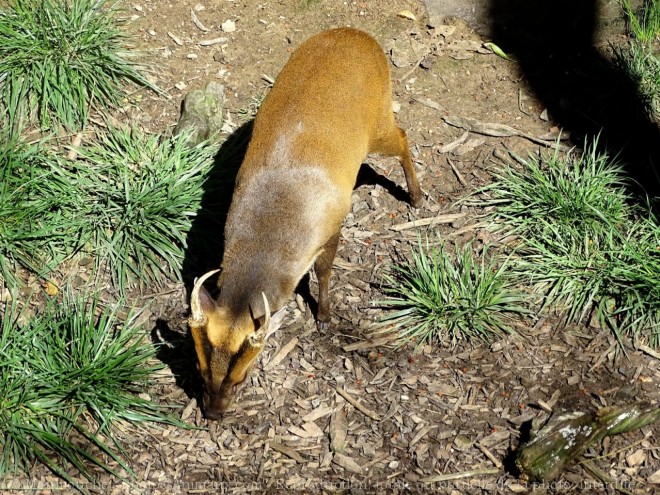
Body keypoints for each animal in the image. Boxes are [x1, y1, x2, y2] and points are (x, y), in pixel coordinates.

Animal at [188, 27, 420, 420]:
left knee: (403, 134)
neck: (272, 231)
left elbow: (324, 273)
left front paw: (324, 316)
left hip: (379, 118)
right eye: (201, 370)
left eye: (241, 377)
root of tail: (359, 35)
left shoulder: (332, 227)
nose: (214, 413)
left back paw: (417, 197)